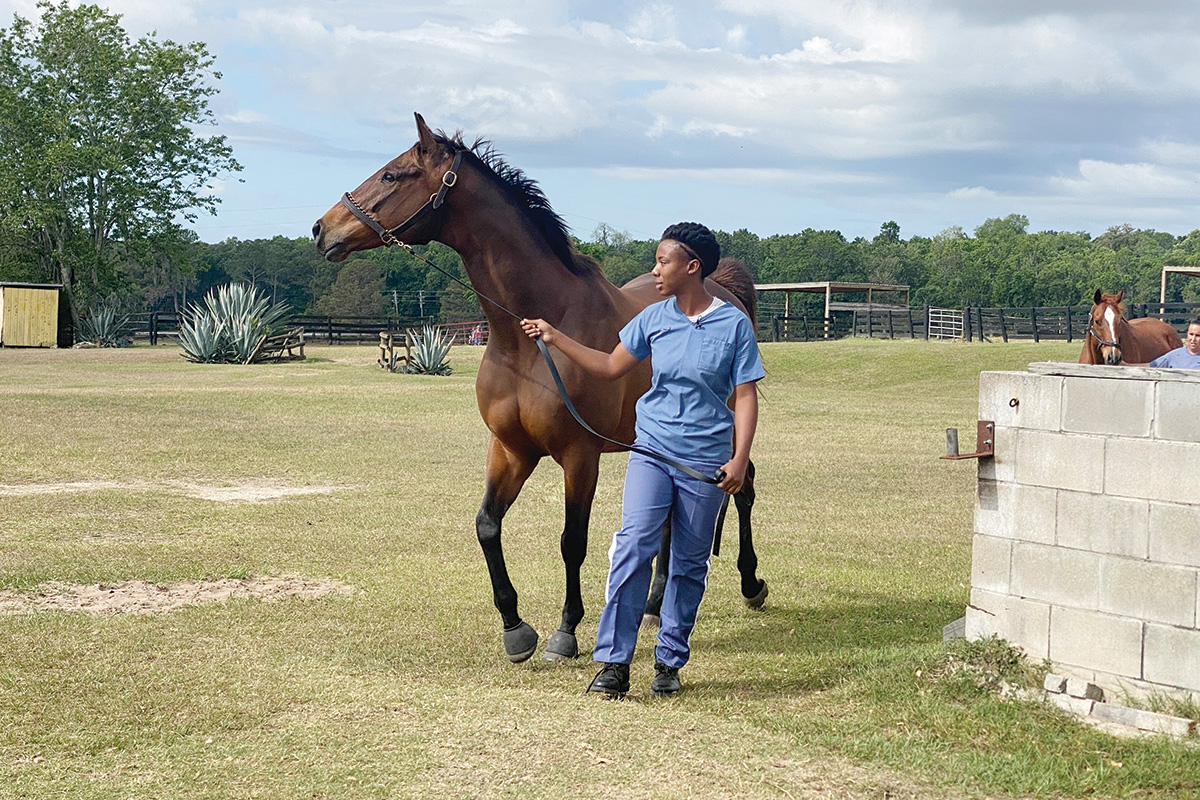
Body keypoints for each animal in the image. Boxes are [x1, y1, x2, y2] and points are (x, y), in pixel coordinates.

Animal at [307, 112, 758, 662]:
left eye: (392, 175)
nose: (322, 228)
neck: (528, 338)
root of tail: (722, 290)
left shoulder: (579, 455)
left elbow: (571, 541)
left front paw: (566, 631)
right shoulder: (510, 449)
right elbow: (486, 525)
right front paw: (515, 628)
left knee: (743, 486)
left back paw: (751, 584)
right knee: (674, 519)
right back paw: (653, 606)